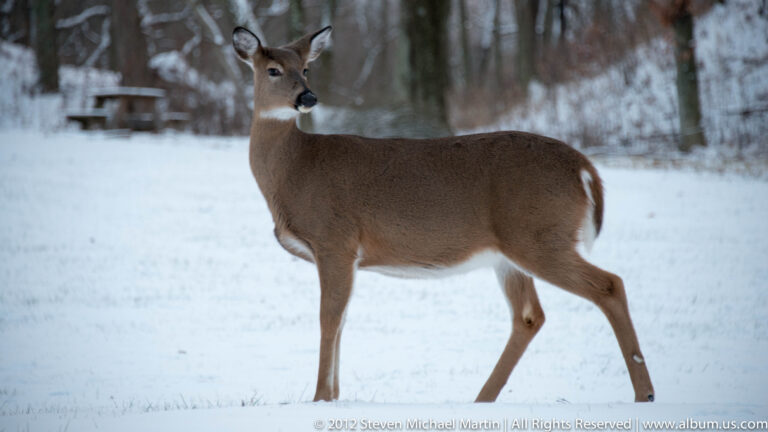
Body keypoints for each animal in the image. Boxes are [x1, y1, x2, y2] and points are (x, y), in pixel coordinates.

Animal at [231, 25, 655, 403]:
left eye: (305, 68)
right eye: (273, 69)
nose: (308, 96)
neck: (295, 169)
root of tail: (584, 167)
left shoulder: (334, 239)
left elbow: (328, 318)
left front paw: (320, 398)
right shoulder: (344, 254)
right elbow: (342, 319)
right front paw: (333, 397)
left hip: (539, 236)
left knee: (609, 285)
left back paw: (644, 393)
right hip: (511, 252)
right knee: (529, 315)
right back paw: (482, 399)